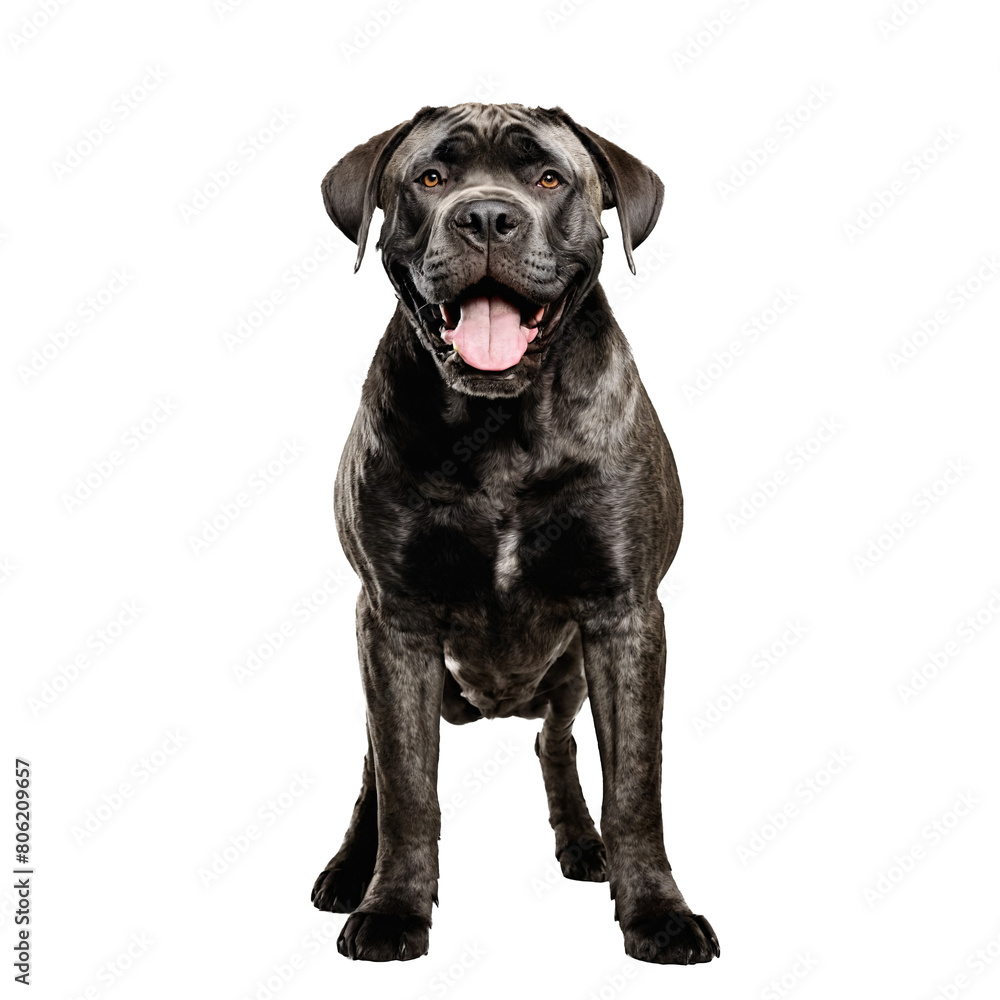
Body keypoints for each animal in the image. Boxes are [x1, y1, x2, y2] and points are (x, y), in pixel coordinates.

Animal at [312, 99, 720, 960]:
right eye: (432, 178)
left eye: (550, 179)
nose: (489, 217)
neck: (498, 426)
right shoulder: (394, 620)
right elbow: (406, 786)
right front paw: (393, 908)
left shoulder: (625, 616)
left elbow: (636, 784)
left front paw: (657, 913)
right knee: (373, 770)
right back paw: (349, 869)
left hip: (569, 672)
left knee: (554, 743)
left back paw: (583, 843)